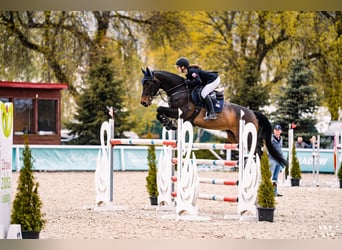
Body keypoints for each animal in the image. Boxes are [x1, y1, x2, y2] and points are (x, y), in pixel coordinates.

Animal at [140, 67, 288, 167]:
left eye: (148, 83)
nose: (143, 102)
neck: (179, 90)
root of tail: (253, 113)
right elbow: (159, 112)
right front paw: (169, 124)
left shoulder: (181, 112)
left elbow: (160, 109)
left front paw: (168, 123)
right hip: (233, 136)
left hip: (247, 135)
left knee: (256, 150)